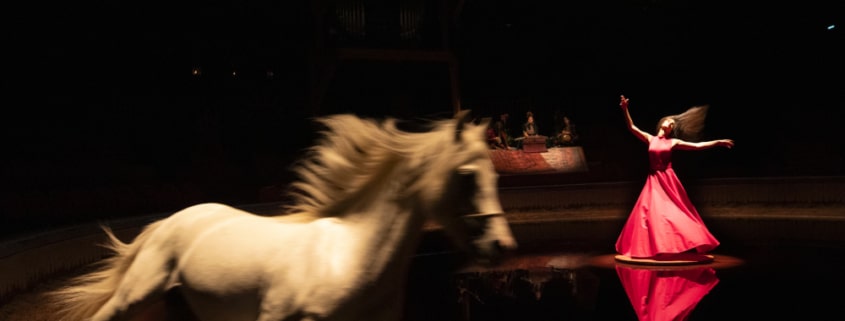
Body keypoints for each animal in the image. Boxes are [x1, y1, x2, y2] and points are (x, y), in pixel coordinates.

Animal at [52, 110, 516, 320]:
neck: (350, 257)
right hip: (137, 293)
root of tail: (169, 222)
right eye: (467, 175)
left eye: (495, 172)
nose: (502, 245)